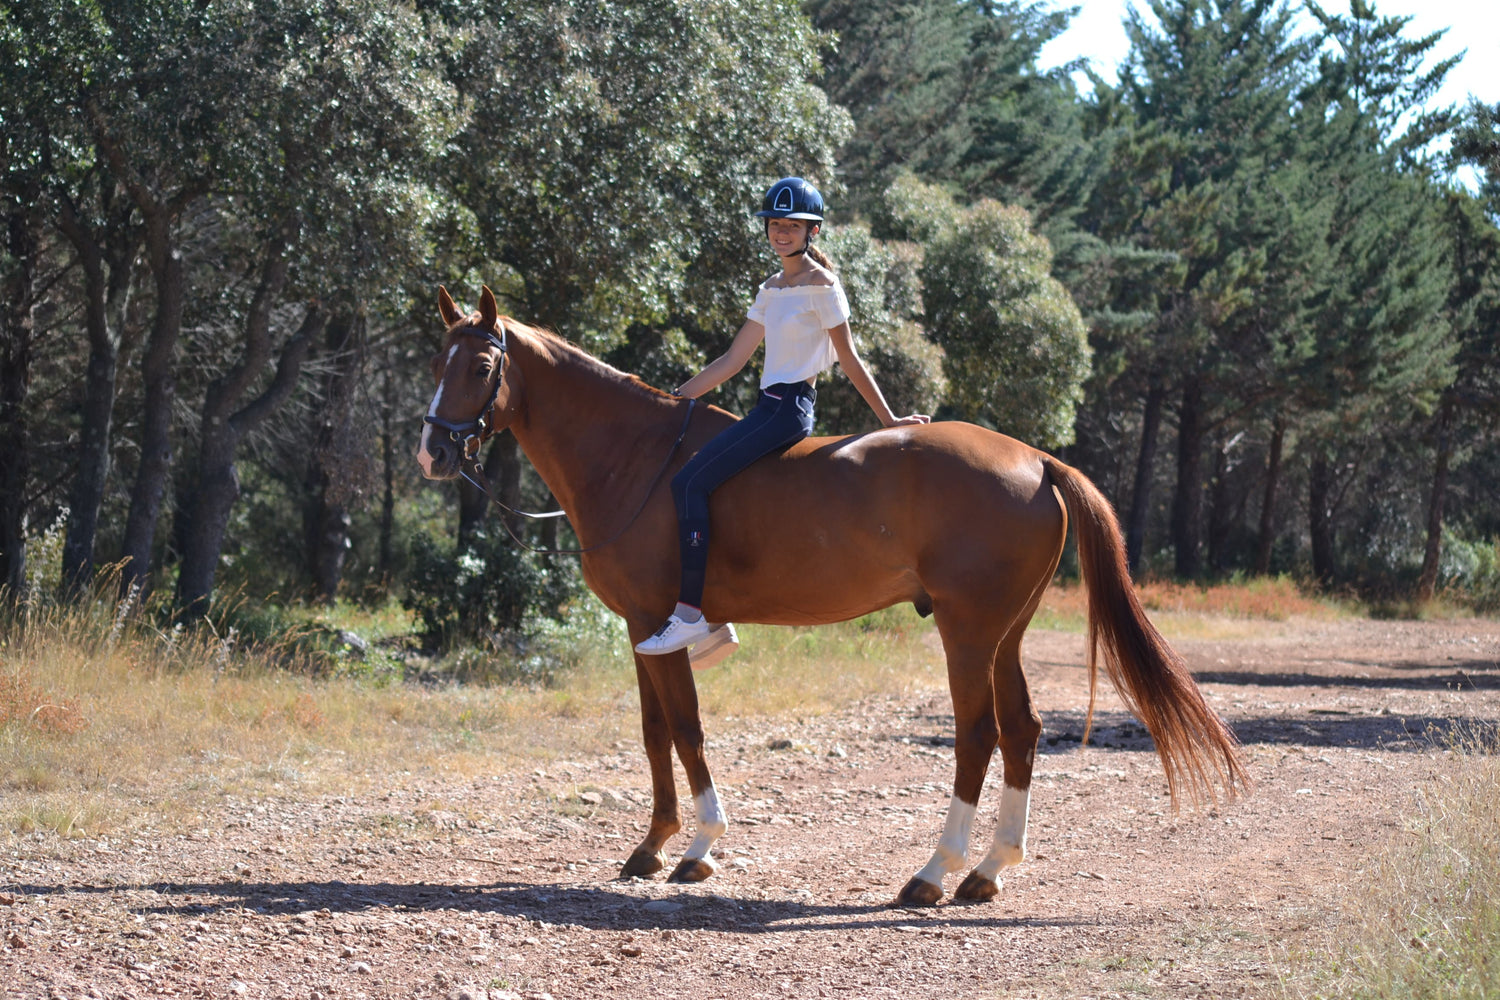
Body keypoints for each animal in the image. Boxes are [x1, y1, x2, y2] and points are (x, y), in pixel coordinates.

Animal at [417, 287, 1248, 905]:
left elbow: (686, 731)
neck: (637, 459)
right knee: (1022, 730)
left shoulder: (659, 621)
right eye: (436, 358)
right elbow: (655, 736)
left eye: (483, 362)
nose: (432, 452)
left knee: (977, 734)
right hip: (1006, 635)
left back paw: (932, 873)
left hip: (968, 632)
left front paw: (699, 848)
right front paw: (650, 847)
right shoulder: (639, 629)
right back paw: (986, 871)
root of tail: (1037, 459)